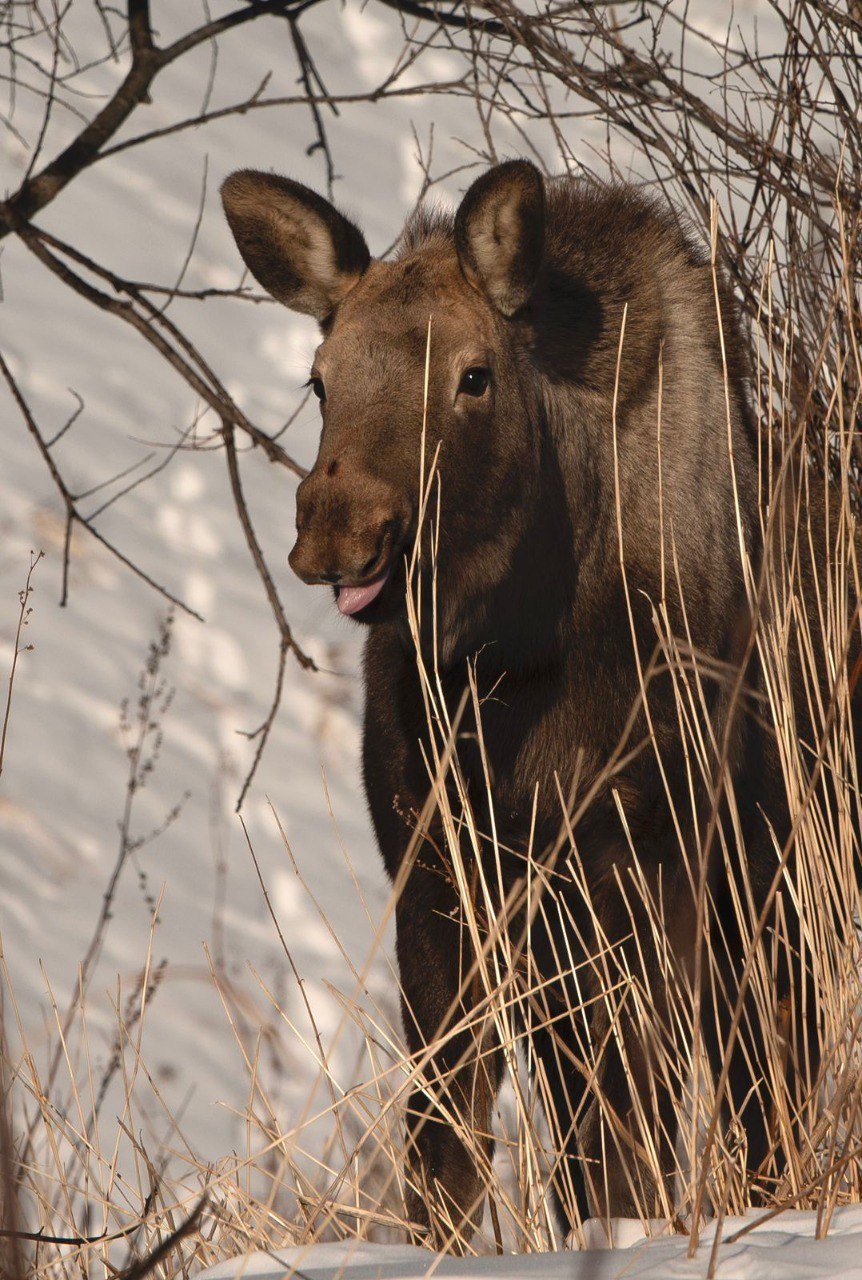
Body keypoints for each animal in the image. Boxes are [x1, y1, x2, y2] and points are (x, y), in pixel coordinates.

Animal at [220, 157, 855, 1239]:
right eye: (319, 376)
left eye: (473, 374)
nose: (339, 534)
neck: (503, 670)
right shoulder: (438, 873)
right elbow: (446, 1144)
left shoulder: (641, 879)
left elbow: (616, 1152)